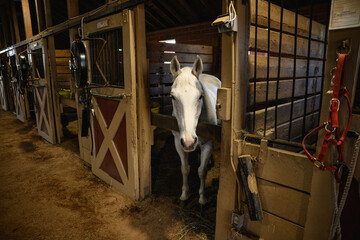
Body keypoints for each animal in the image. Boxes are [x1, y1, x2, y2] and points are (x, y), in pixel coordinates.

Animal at [170, 54, 221, 204]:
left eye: (200, 96)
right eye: (173, 96)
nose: (189, 141)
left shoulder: (208, 144)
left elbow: (201, 171)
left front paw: (202, 197)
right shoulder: (178, 143)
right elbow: (185, 169)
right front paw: (184, 194)